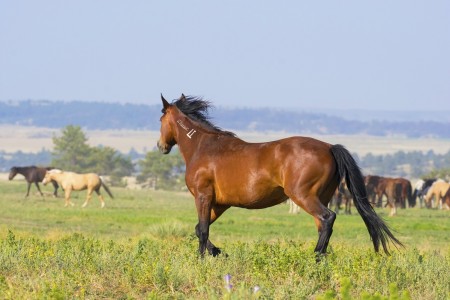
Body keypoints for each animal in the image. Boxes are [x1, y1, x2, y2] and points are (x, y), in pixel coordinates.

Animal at [156, 94, 400, 258]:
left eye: (161, 120)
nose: (160, 146)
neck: (203, 147)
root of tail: (330, 147)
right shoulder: (220, 203)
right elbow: (200, 228)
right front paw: (218, 252)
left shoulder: (203, 197)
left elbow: (203, 230)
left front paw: (202, 259)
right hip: (321, 196)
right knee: (323, 225)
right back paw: (320, 257)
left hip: (303, 196)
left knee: (327, 218)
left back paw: (315, 257)